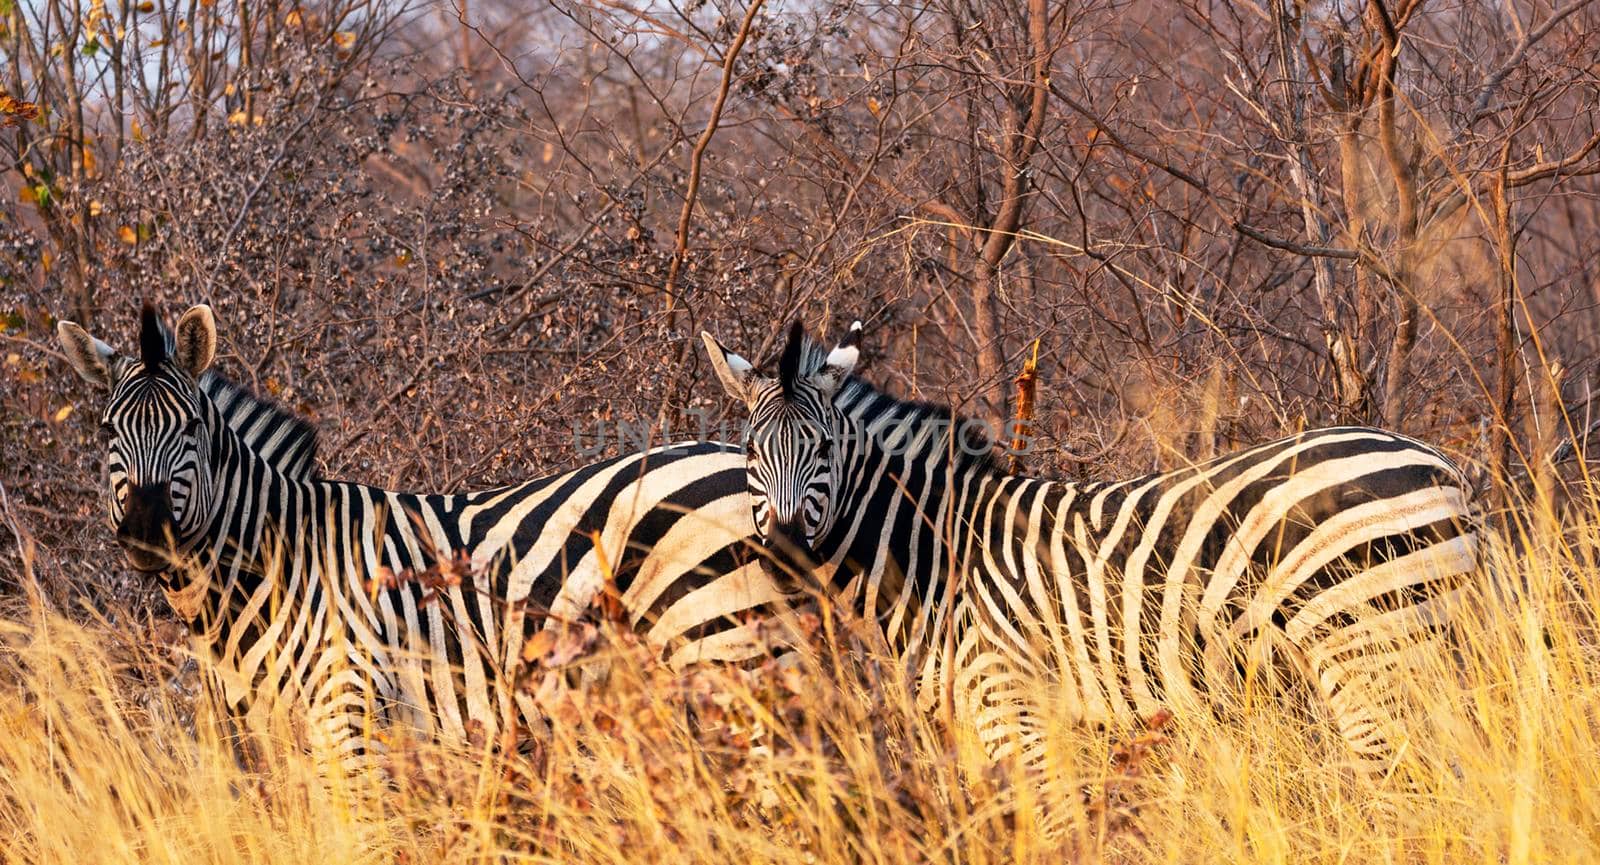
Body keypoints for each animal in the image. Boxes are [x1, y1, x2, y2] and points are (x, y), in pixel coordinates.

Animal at [59, 303, 784, 767]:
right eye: (106, 431)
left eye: (190, 430)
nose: (147, 533)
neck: (278, 563)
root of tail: (735, 456)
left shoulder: (349, 711)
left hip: (726, 641)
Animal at [707, 319, 1478, 780]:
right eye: (750, 452)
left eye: (824, 450)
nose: (781, 550)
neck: (937, 551)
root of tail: (1439, 463)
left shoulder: (1013, 706)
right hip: (1422, 642)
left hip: (1373, 650)